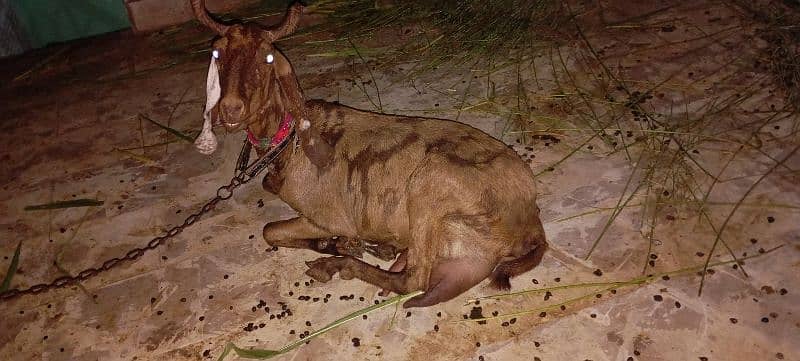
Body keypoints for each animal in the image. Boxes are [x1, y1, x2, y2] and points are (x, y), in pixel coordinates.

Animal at [191, 0, 548, 306]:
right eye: (218, 53)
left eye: (266, 59)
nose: (231, 109)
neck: (288, 141)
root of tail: (530, 220)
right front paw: (337, 245)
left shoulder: (330, 216)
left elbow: (269, 231)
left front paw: (338, 245)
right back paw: (383, 250)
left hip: (430, 187)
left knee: (415, 279)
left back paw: (337, 266)